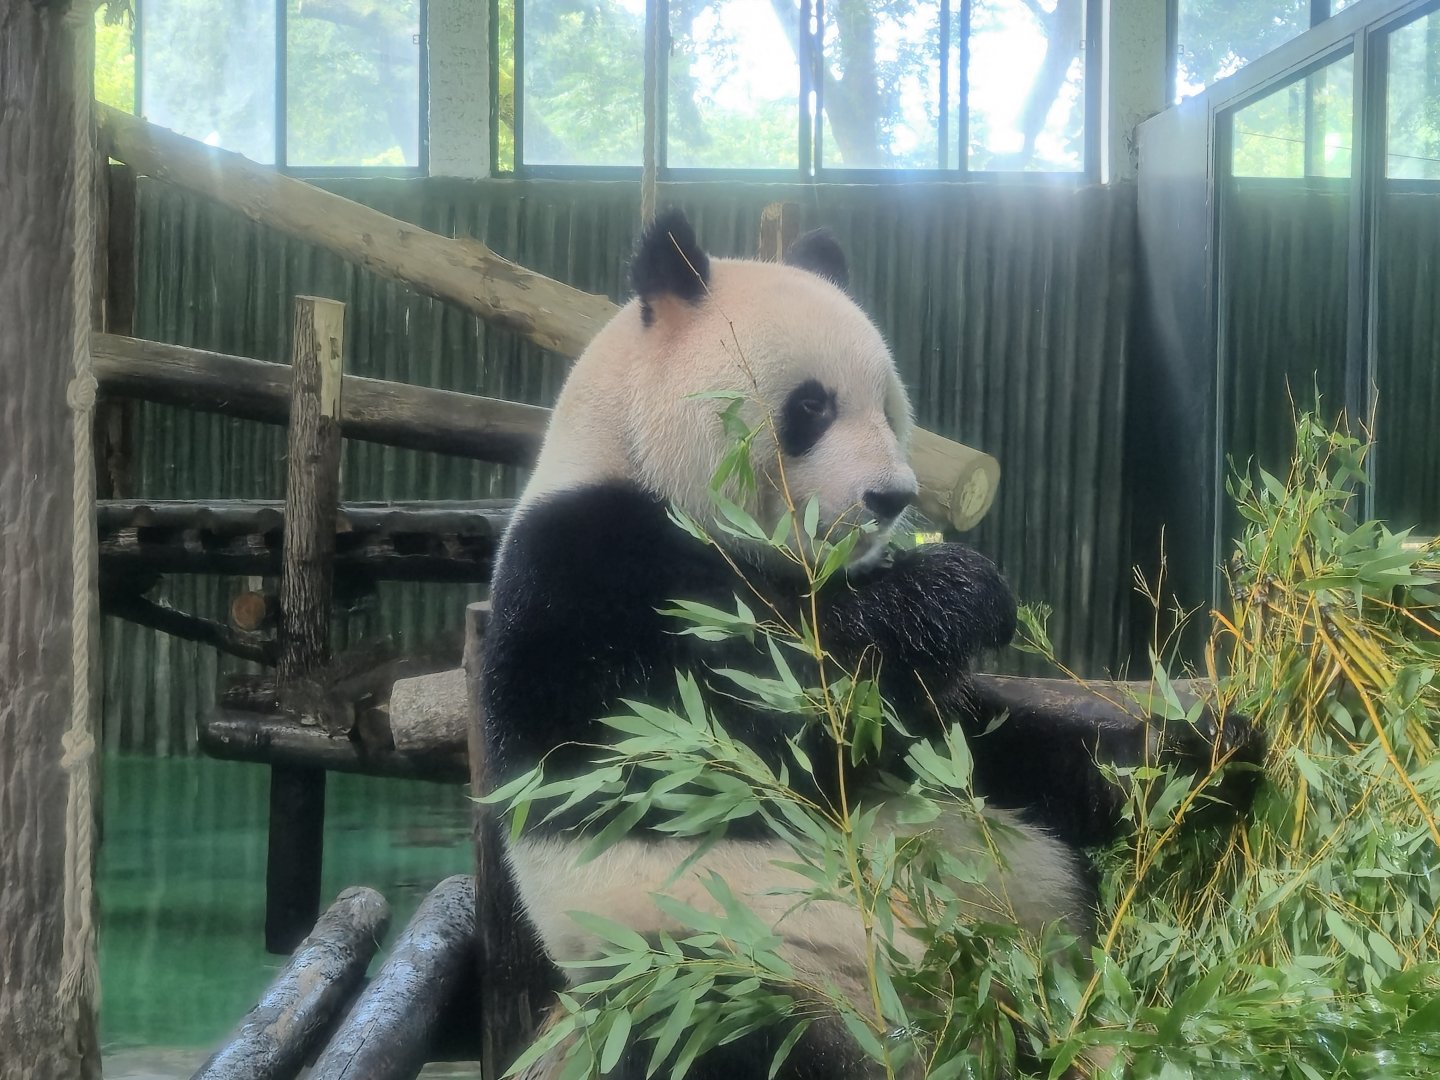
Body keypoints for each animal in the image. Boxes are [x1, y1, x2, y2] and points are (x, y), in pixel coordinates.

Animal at [479, 209, 1255, 1079]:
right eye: (811, 405)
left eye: (886, 405)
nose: (891, 497)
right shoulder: (582, 576)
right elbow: (721, 732)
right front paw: (959, 591)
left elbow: (963, 732)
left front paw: (1200, 750)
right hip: (720, 963)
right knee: (719, 1033)